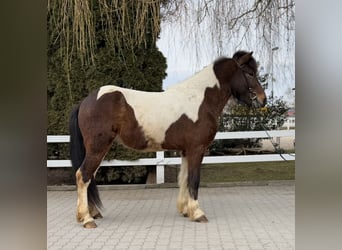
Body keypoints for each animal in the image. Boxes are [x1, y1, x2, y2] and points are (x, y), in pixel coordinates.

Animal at [69, 50, 268, 229]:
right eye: (250, 73)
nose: (262, 100)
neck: (201, 99)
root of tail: (85, 101)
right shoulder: (197, 149)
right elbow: (194, 180)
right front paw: (198, 213)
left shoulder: (186, 150)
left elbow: (184, 178)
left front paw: (186, 210)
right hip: (98, 148)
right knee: (83, 175)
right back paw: (87, 219)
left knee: (89, 176)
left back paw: (92, 213)